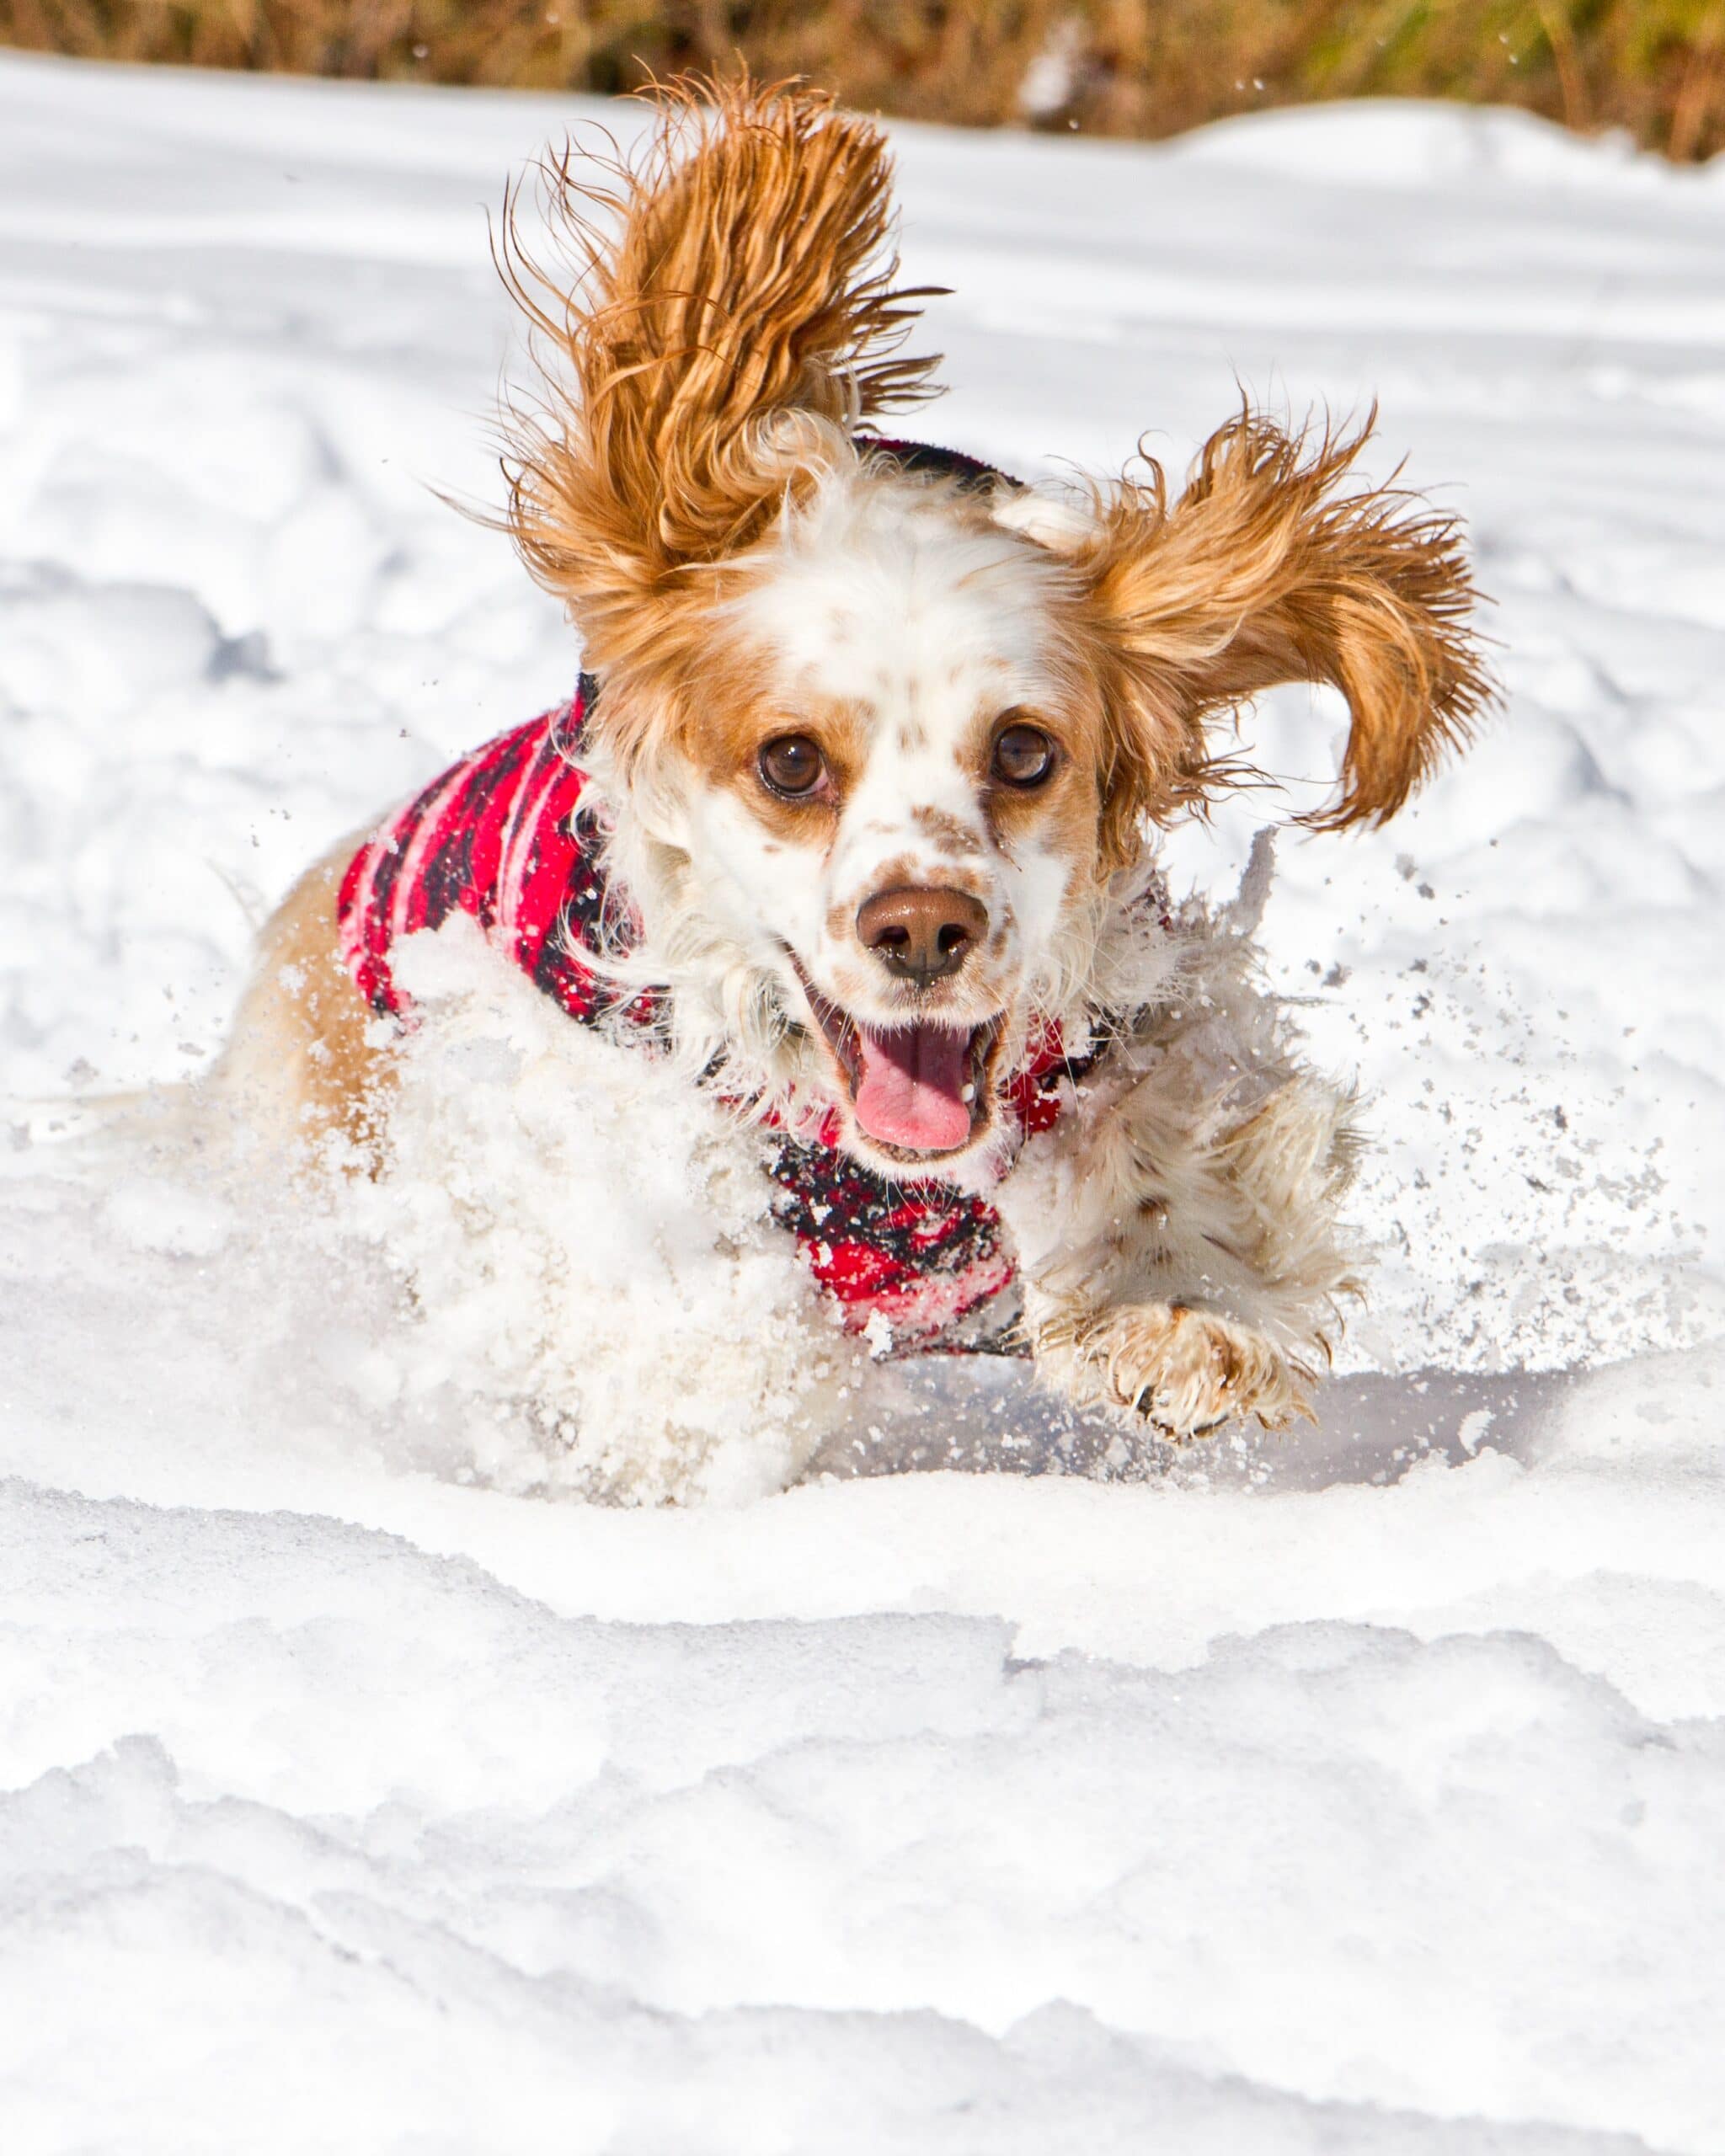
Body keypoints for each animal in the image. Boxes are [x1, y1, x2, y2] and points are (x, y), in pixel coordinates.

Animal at [212, 76, 1483, 1492]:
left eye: (1025, 750)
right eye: (791, 760)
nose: (922, 927)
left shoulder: (1138, 1014)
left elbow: (1184, 1135)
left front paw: (1174, 1309)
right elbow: (688, 1328)